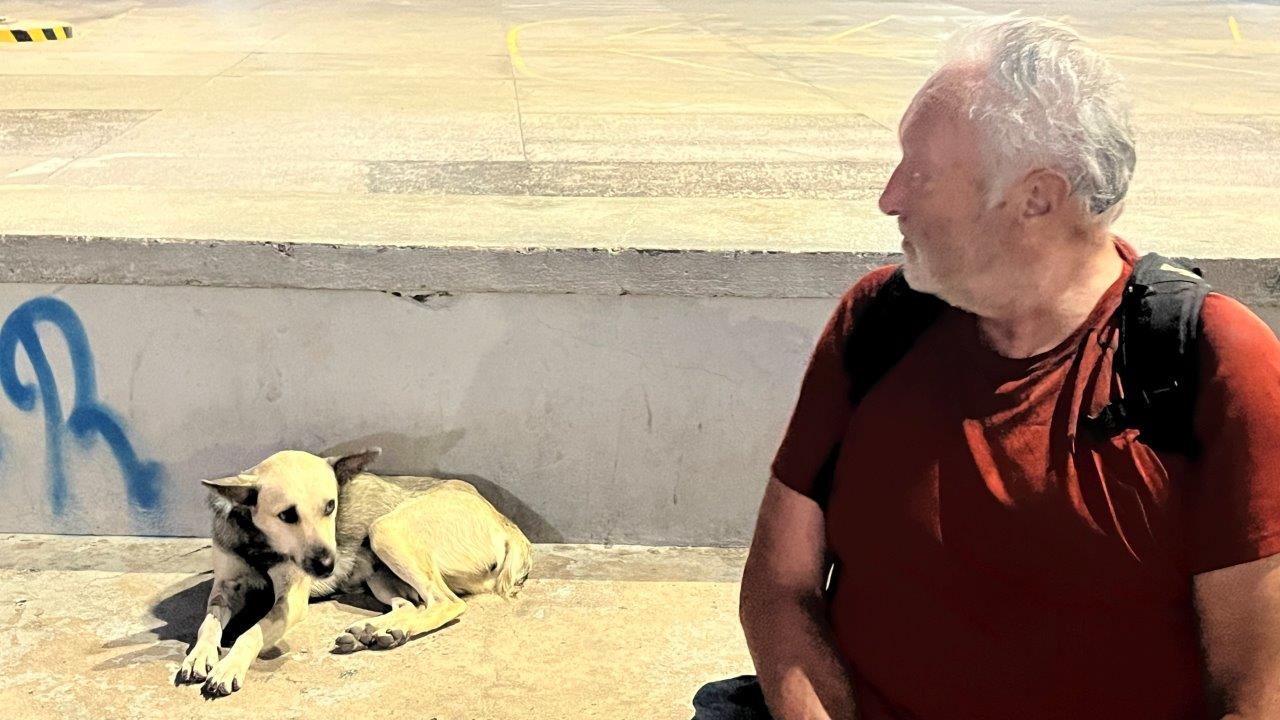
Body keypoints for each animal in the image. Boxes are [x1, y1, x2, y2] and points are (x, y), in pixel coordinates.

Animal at [174, 447, 532, 696]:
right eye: (287, 515)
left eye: (331, 506)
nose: (327, 565)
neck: (260, 542)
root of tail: (505, 521)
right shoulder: (224, 589)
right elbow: (208, 625)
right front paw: (199, 655)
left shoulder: (290, 603)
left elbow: (251, 633)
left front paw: (229, 666)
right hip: (377, 570)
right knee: (411, 604)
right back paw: (376, 631)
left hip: (385, 530)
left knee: (446, 603)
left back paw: (386, 631)